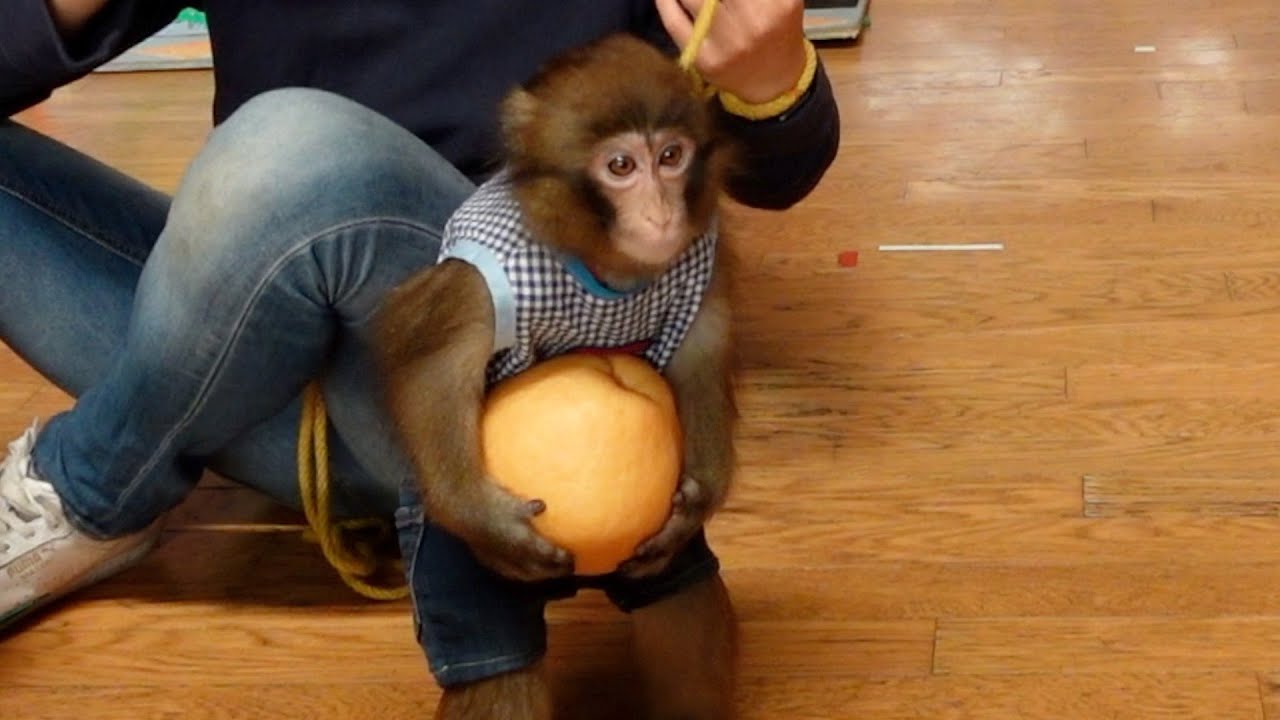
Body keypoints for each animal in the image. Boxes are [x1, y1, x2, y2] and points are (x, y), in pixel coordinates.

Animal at [374, 33, 738, 720]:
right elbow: (433, 367)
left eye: (671, 156)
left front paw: (700, 496)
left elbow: (699, 352)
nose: (660, 214)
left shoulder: (698, 255)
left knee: (682, 610)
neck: (602, 265)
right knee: (498, 672)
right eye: (620, 166)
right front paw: (485, 517)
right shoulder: (483, 276)